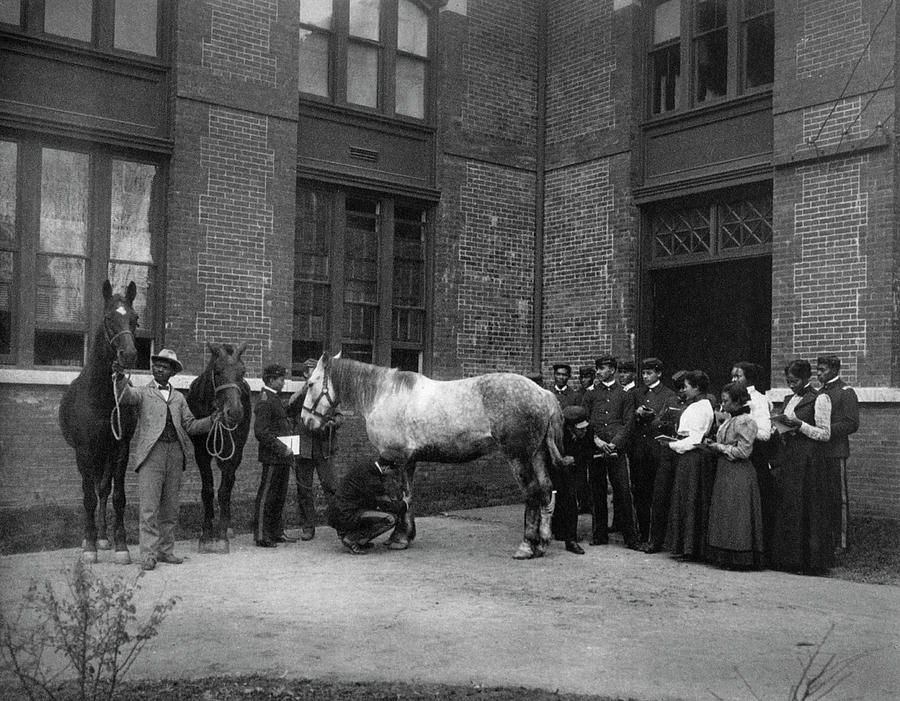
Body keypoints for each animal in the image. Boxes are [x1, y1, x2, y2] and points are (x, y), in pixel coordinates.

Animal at [59, 278, 139, 564]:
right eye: (108, 318)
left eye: (135, 319)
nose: (129, 354)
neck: (103, 398)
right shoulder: (84, 451)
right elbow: (88, 498)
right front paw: (89, 547)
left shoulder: (120, 448)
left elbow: (117, 496)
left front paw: (121, 546)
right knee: (93, 490)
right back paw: (91, 538)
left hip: (105, 454)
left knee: (103, 489)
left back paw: (103, 537)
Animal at [186, 340, 250, 552]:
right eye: (218, 371)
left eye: (243, 371)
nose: (235, 412)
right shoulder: (201, 452)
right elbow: (207, 490)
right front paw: (206, 533)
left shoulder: (233, 452)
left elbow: (224, 490)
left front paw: (221, 534)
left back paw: (227, 526)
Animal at [306, 356, 568, 556]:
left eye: (310, 383)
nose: (306, 421)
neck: (385, 395)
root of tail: (542, 393)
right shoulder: (409, 461)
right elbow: (407, 496)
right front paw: (404, 536)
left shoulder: (398, 459)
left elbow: (401, 496)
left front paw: (399, 538)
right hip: (537, 454)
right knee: (546, 490)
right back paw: (543, 542)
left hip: (519, 457)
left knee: (533, 492)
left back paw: (527, 546)